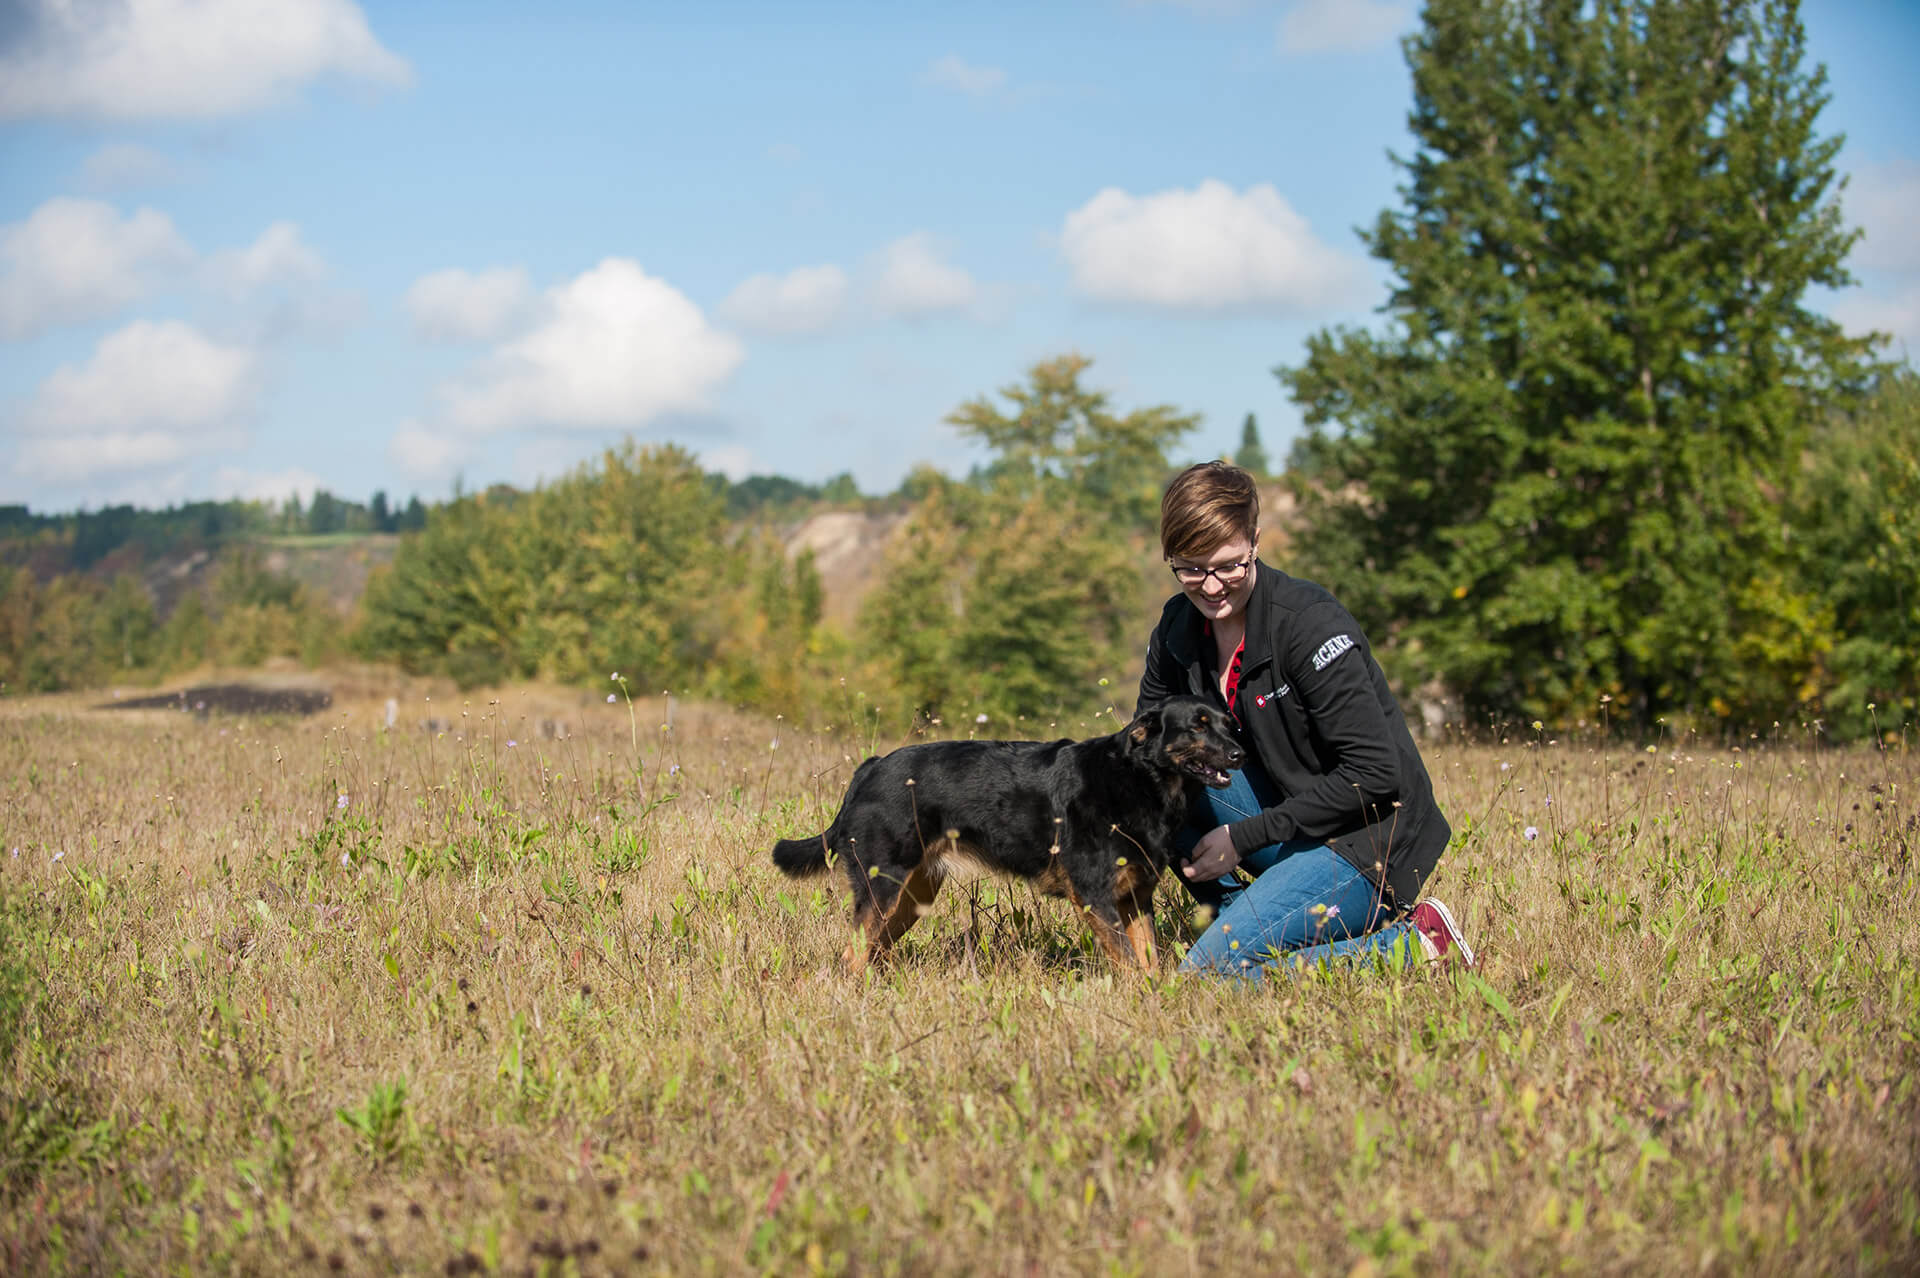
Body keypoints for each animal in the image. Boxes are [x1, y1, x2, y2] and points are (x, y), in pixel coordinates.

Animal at [775, 690, 1244, 970]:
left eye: (1228, 723)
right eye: (1197, 726)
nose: (1241, 754)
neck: (1136, 778)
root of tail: (870, 768)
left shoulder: (1135, 900)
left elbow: (1148, 963)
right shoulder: (1095, 898)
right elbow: (1130, 963)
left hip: (910, 898)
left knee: (872, 950)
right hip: (882, 888)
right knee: (853, 955)